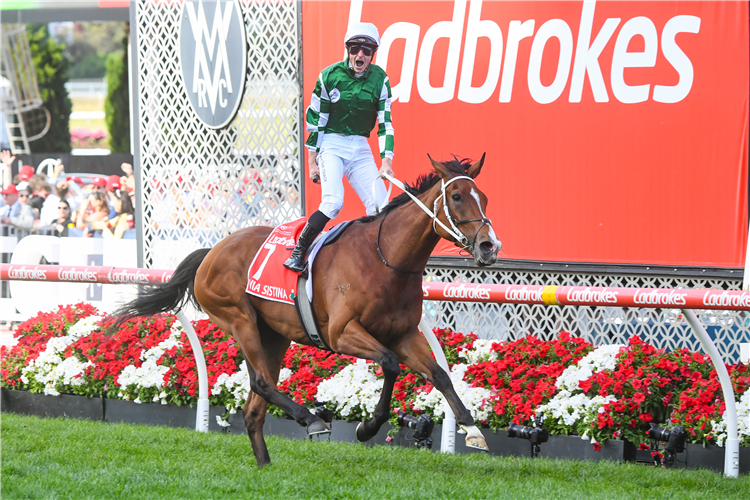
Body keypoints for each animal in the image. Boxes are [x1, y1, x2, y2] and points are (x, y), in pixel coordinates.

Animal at [113, 154, 500, 466]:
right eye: (456, 196)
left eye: (483, 198)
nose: (489, 246)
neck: (385, 259)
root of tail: (212, 250)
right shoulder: (342, 333)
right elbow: (390, 364)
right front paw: (366, 427)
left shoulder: (403, 334)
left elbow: (439, 374)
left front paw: (472, 429)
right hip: (239, 318)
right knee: (260, 382)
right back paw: (310, 419)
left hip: (274, 336)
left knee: (254, 408)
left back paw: (265, 466)